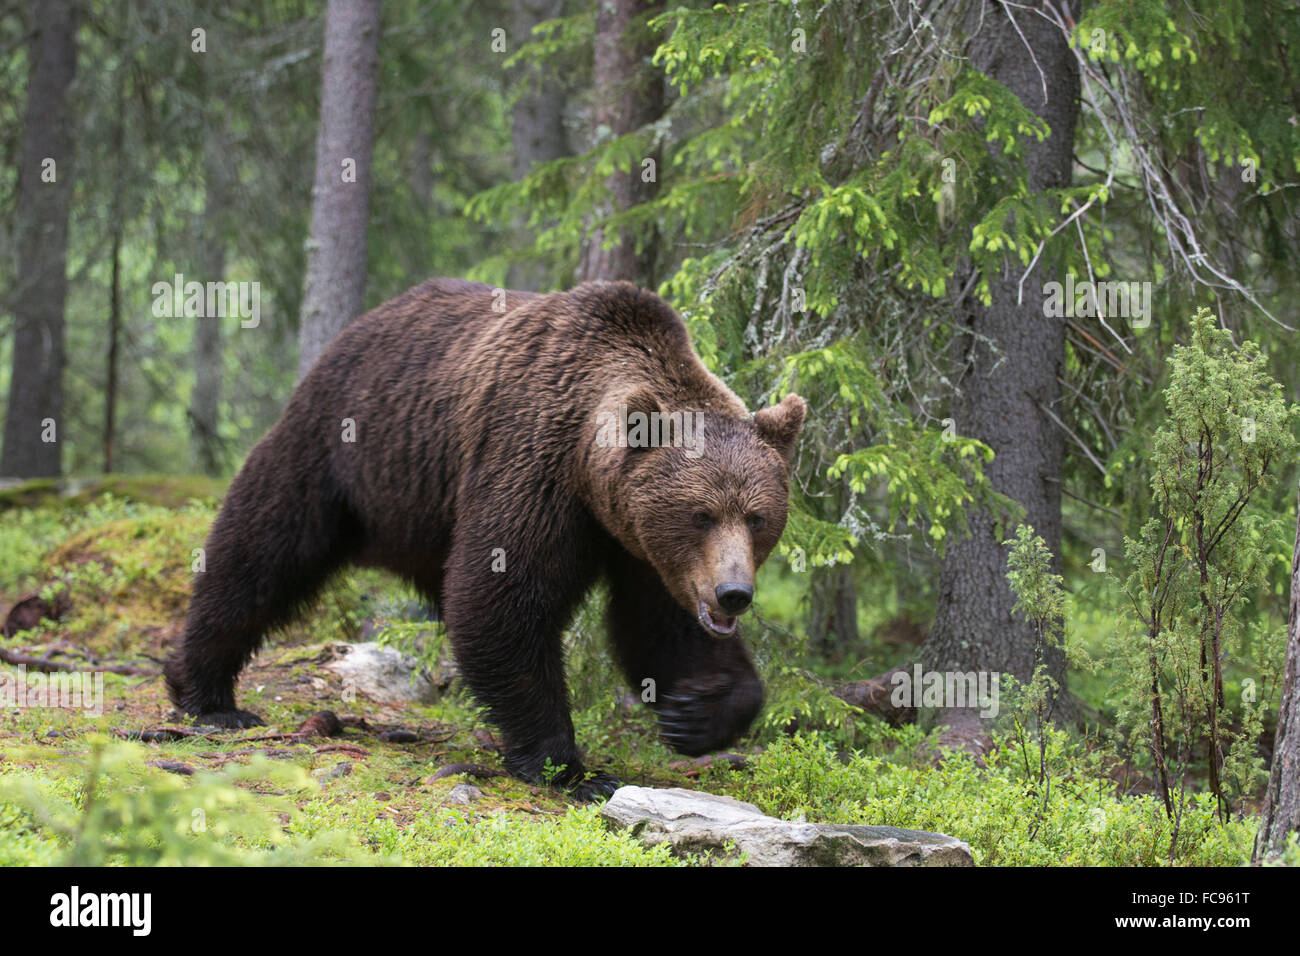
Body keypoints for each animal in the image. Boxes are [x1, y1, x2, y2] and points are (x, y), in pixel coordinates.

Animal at [165, 278, 800, 801]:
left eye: (757, 517)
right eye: (701, 514)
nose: (734, 594)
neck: (590, 478)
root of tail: (358, 327)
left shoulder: (638, 542)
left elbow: (658, 621)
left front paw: (697, 709)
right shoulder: (533, 462)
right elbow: (500, 599)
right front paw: (572, 769)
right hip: (340, 454)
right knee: (260, 553)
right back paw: (209, 697)